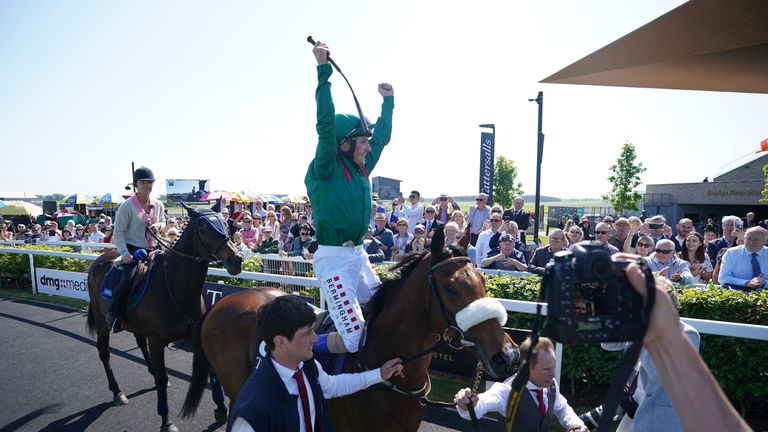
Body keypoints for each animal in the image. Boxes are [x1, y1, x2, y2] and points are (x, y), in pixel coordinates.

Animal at [83, 202, 242, 432]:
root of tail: (98, 262)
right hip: (103, 321)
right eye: (203, 228)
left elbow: (209, 369)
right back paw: (117, 392)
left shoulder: (194, 334)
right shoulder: (157, 341)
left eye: (225, 223)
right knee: (104, 352)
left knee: (140, 343)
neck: (176, 287)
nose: (236, 260)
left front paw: (221, 408)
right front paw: (166, 420)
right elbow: (163, 374)